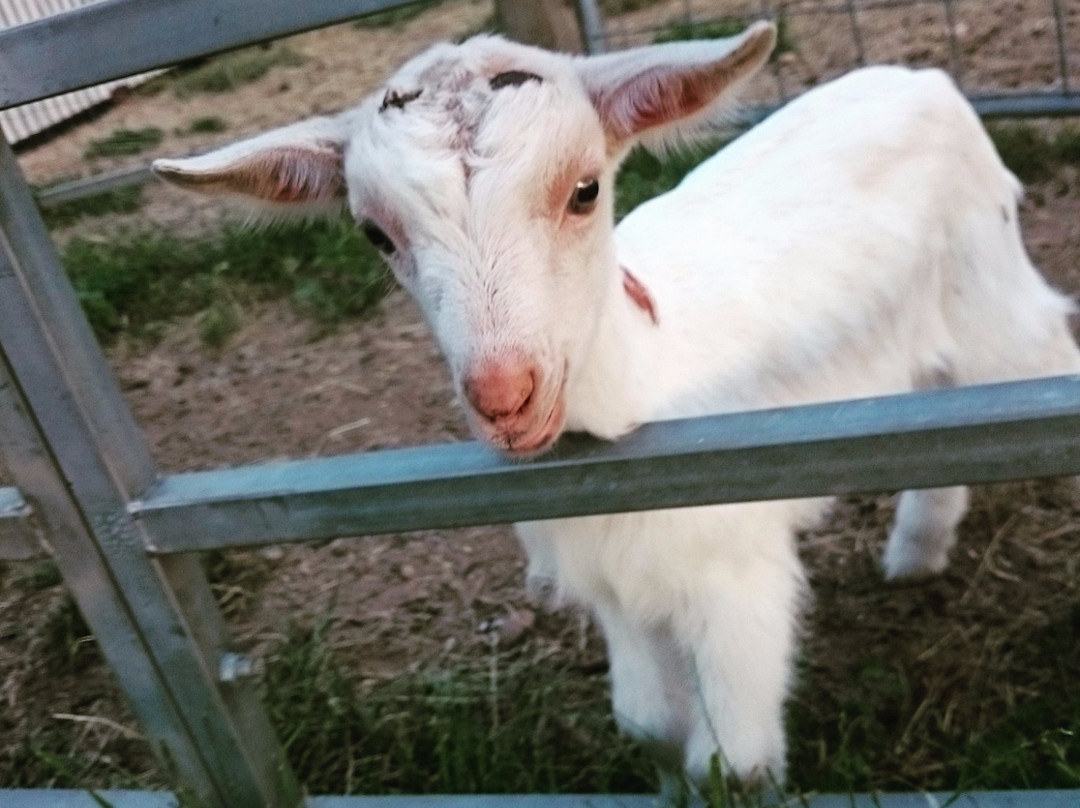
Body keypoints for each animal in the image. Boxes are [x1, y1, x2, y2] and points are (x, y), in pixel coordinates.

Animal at [153, 23, 1080, 789]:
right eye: (375, 235)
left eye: (585, 190)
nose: (504, 395)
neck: (640, 398)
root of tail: (926, 79)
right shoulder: (615, 585)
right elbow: (650, 728)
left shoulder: (735, 571)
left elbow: (733, 765)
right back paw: (914, 554)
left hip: (990, 289)